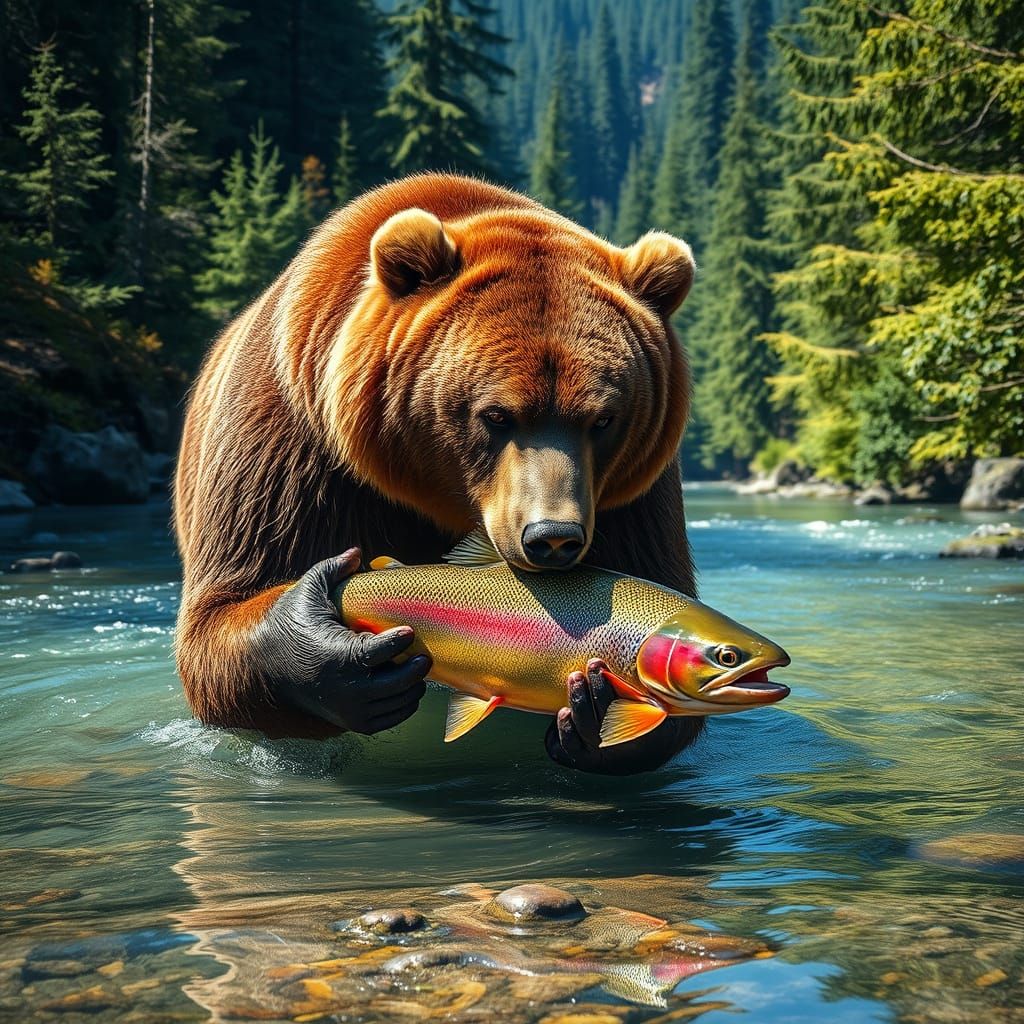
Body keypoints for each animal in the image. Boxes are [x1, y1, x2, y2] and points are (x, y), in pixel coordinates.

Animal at [174, 173, 699, 775]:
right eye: (496, 414)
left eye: (603, 418)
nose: (552, 537)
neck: (433, 493)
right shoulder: (291, 444)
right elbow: (223, 614)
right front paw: (347, 664)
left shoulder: (631, 496)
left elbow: (655, 581)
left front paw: (597, 711)